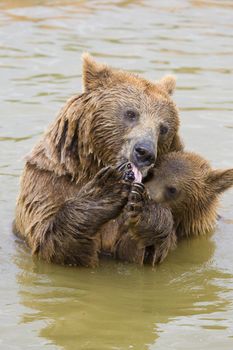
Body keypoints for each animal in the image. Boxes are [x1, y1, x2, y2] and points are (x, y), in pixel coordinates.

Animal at [13, 53, 183, 266]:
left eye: (164, 128)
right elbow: (49, 240)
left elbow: (141, 250)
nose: (145, 152)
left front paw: (145, 208)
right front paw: (105, 190)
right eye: (131, 113)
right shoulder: (47, 181)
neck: (92, 166)